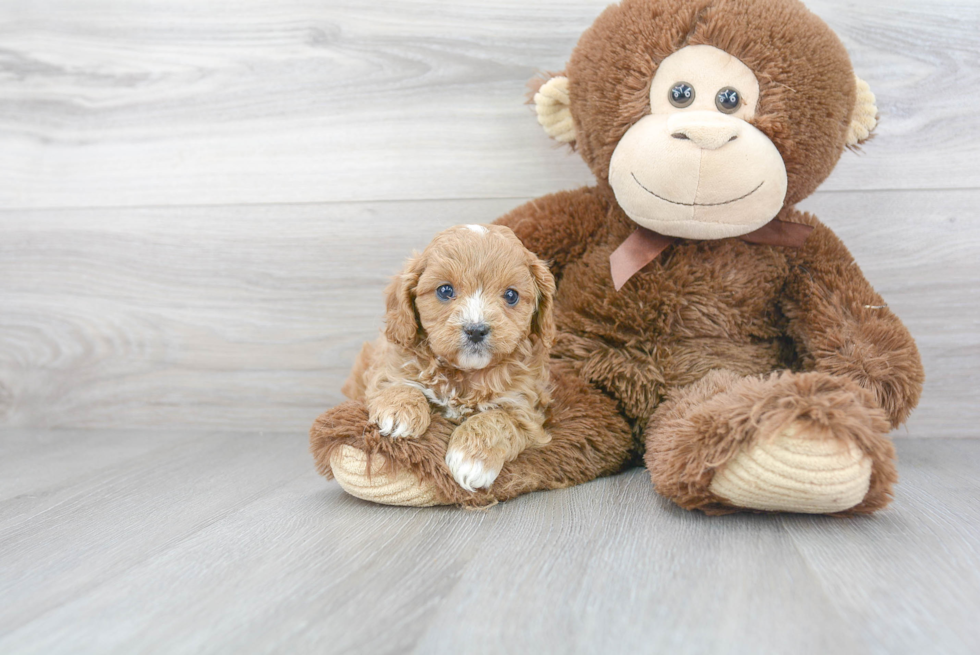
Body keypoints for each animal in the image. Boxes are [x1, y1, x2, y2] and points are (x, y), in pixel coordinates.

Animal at [342, 226, 560, 492]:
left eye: (511, 295)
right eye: (445, 291)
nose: (475, 329)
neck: (463, 374)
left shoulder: (526, 412)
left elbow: (497, 419)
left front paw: (471, 459)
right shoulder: (389, 365)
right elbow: (396, 383)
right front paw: (398, 412)